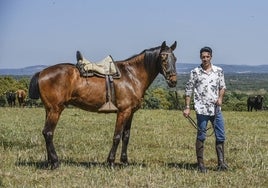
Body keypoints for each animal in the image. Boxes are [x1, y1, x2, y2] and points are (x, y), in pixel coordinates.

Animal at [28, 41, 178, 170]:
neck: (131, 76)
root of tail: (41, 73)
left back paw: (50, 161)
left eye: (175, 59)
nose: (173, 80)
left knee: (46, 133)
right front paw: (110, 162)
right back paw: (55, 162)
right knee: (48, 133)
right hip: (55, 110)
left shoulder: (130, 112)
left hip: (49, 110)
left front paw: (125, 162)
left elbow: (126, 137)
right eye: (163, 59)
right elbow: (117, 136)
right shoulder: (123, 112)